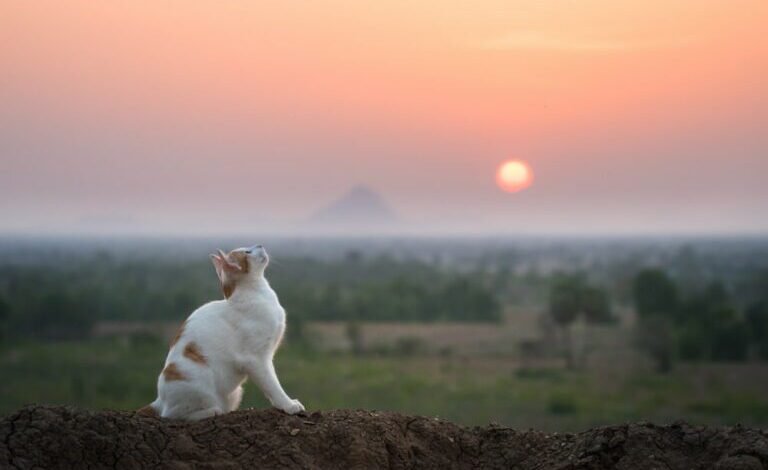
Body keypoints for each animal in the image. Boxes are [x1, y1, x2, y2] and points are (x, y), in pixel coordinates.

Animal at [140, 244, 302, 420]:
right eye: (247, 252)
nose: (260, 245)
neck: (258, 292)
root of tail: (159, 401)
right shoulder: (255, 359)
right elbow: (272, 385)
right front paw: (288, 404)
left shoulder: (267, 356)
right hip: (197, 381)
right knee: (173, 415)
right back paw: (212, 411)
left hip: (235, 392)